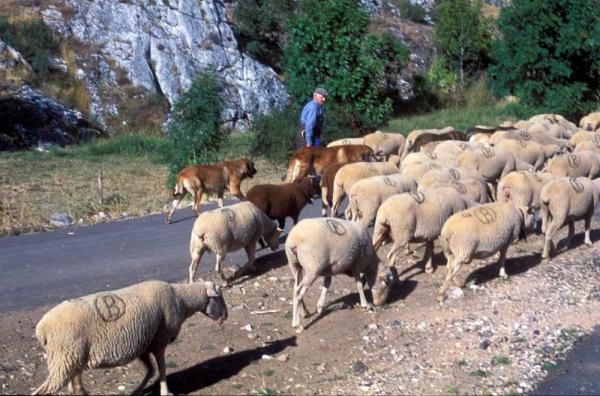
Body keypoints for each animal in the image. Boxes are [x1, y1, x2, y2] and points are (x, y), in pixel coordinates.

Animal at [31, 280, 227, 394]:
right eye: (219, 297)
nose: (226, 316)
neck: (182, 301)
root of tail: (41, 329)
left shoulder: (144, 344)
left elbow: (151, 371)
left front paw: (137, 391)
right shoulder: (159, 341)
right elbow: (162, 369)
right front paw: (166, 391)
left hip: (72, 358)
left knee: (74, 382)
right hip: (64, 358)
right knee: (44, 391)